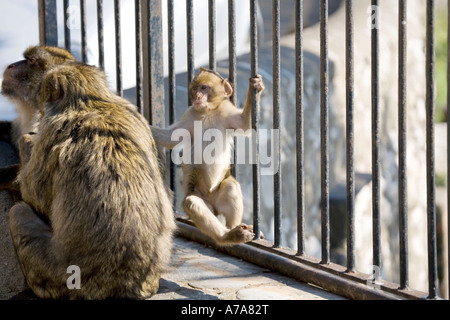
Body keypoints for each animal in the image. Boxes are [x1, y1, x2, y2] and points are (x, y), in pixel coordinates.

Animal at [0, 45, 176, 300]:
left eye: (30, 61)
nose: (11, 65)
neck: (94, 102)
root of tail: (124, 283)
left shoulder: (47, 129)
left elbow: (33, 192)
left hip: (58, 278)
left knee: (18, 212)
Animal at [151, 69, 264, 246]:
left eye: (204, 88)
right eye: (194, 89)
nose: (197, 96)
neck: (208, 111)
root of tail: (214, 206)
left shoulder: (226, 111)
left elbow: (245, 125)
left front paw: (257, 87)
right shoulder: (189, 115)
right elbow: (170, 137)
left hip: (218, 194)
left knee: (230, 186)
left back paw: (234, 229)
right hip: (200, 196)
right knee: (192, 203)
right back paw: (227, 236)